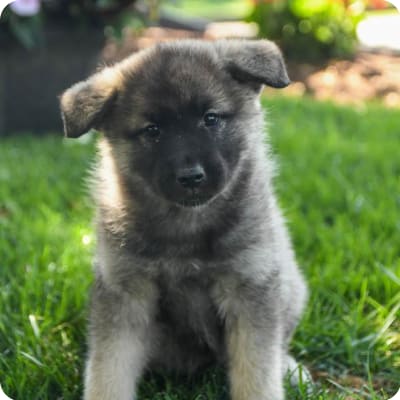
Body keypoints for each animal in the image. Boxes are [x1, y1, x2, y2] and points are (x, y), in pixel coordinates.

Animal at [60, 38, 310, 400]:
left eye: (210, 118)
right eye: (153, 130)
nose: (191, 176)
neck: (186, 226)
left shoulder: (249, 287)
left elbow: (257, 371)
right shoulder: (125, 293)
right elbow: (109, 369)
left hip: (290, 287)